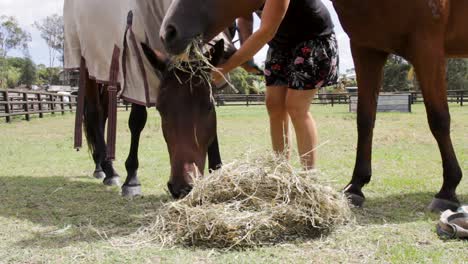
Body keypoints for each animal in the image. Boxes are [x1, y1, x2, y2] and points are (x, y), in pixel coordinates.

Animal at [160, 0, 464, 210]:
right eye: (162, 109)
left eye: (207, 107)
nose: (168, 32)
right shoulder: (367, 48)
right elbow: (365, 119)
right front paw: (356, 187)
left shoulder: (427, 48)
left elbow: (439, 118)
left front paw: (447, 190)